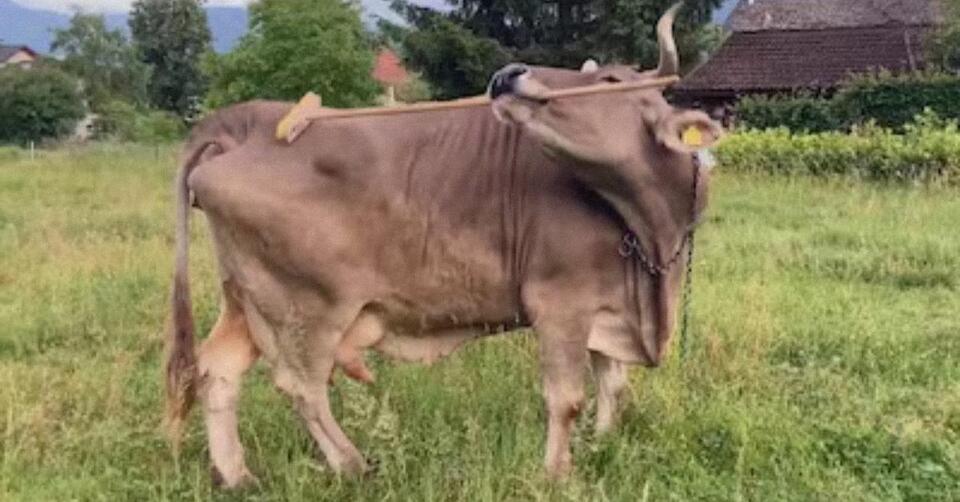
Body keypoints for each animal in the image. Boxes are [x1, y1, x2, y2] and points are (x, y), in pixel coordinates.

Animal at [164, 4, 722, 487]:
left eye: (610, 81)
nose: (508, 74)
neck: (651, 232)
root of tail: (247, 120)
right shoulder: (561, 303)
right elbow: (566, 397)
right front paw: (557, 475)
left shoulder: (610, 305)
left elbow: (614, 386)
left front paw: (602, 446)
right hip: (306, 306)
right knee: (301, 385)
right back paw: (353, 465)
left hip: (246, 298)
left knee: (217, 370)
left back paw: (238, 475)